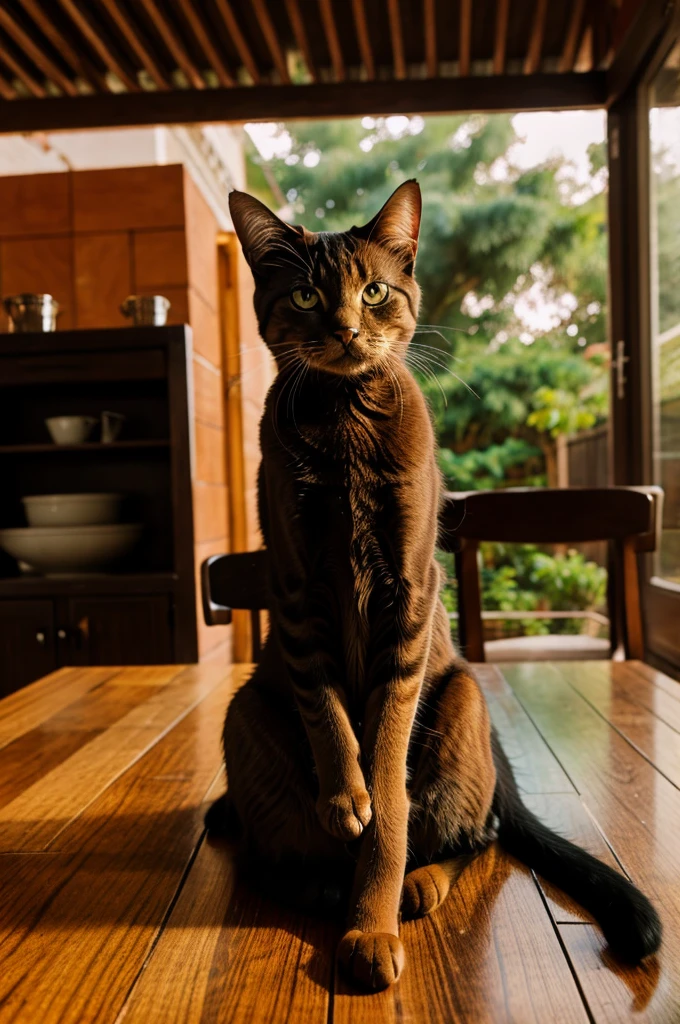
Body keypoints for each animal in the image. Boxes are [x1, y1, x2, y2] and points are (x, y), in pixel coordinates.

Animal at [205, 180, 659, 987]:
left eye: (374, 290)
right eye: (304, 295)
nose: (347, 329)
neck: (344, 425)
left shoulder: (409, 595)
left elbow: (389, 772)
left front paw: (371, 926)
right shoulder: (297, 591)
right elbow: (332, 721)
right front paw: (345, 799)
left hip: (463, 701)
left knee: (479, 835)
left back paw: (413, 887)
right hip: (247, 714)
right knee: (263, 859)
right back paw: (318, 882)